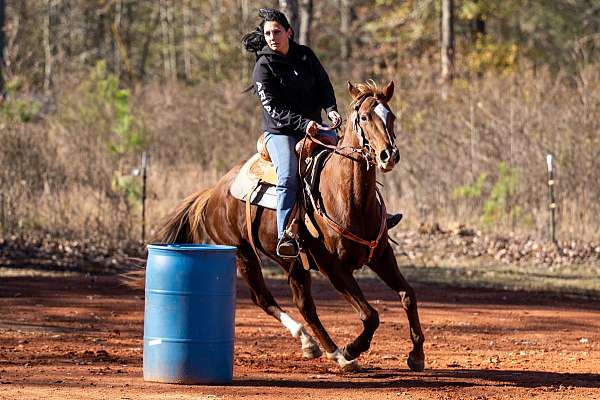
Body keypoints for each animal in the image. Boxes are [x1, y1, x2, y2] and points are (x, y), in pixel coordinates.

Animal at [155, 81, 426, 372]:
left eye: (391, 116)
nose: (389, 155)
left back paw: (321, 347)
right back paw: (332, 351)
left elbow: (408, 295)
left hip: (291, 262)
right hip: (243, 254)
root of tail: (213, 192)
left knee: (304, 305)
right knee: (264, 299)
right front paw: (352, 348)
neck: (347, 197)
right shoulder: (333, 267)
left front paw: (416, 354)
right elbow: (370, 314)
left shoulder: (381, 255)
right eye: (364, 117)